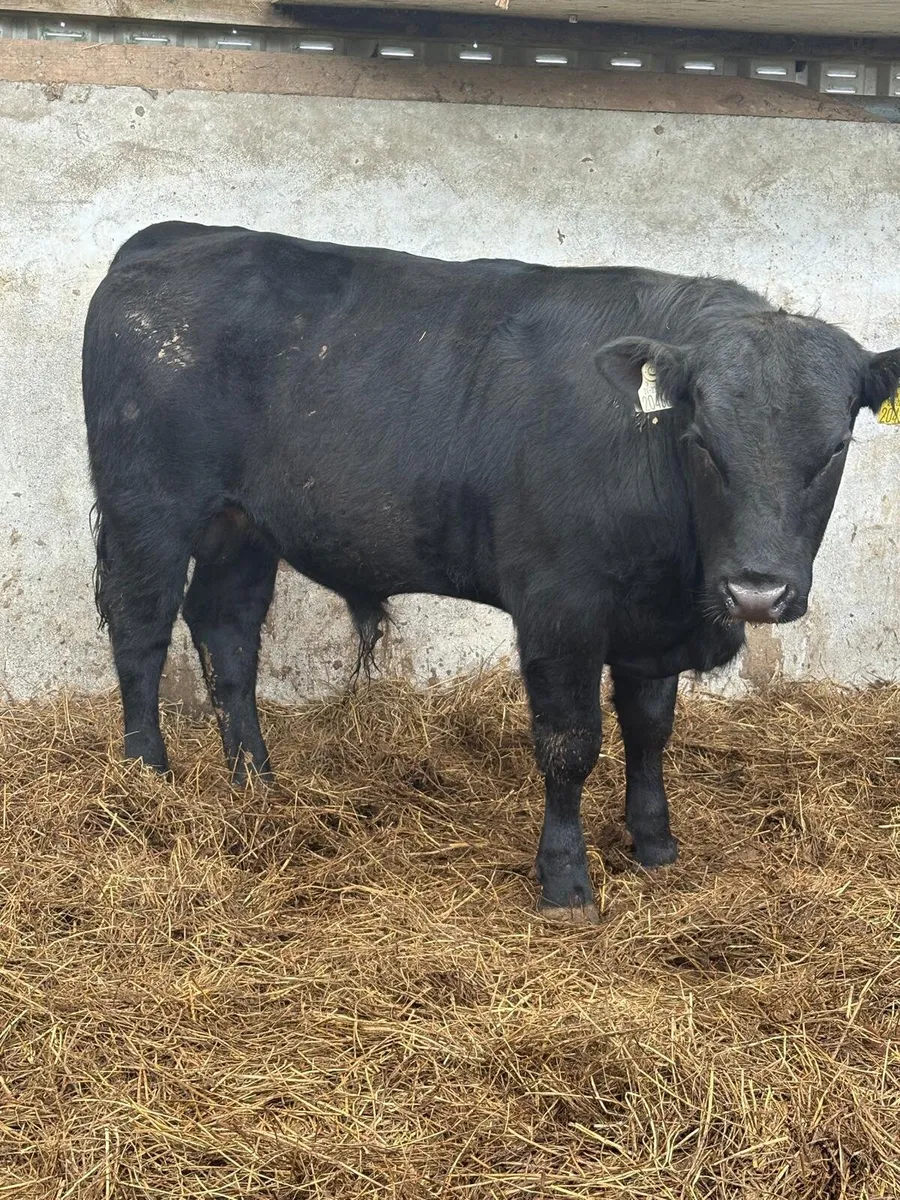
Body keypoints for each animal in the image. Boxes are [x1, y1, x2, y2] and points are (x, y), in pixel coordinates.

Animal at [82, 221, 900, 923]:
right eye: (701, 439)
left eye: (835, 447)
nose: (756, 590)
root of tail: (172, 238)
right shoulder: (559, 609)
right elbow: (571, 745)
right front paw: (566, 883)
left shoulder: (651, 623)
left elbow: (649, 730)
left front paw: (656, 845)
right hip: (147, 509)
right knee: (141, 631)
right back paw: (146, 776)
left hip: (242, 527)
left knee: (227, 634)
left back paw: (254, 780)